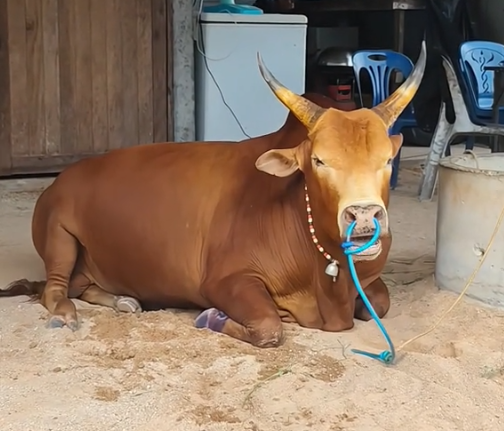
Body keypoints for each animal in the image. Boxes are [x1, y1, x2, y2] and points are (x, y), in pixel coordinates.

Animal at [1, 42, 426, 347]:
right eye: (319, 160)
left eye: (387, 160)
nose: (364, 216)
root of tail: (60, 180)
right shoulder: (225, 280)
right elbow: (269, 327)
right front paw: (215, 317)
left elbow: (381, 304)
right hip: (58, 235)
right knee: (54, 290)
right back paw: (66, 314)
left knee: (81, 285)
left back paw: (123, 300)